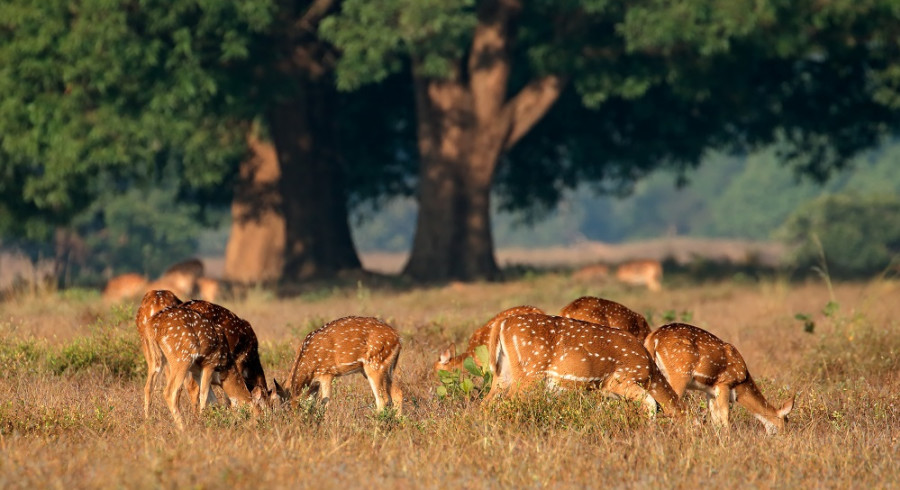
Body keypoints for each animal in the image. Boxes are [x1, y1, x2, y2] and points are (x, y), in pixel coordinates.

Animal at [144, 300, 268, 430]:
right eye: (257, 414)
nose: (257, 427)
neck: (225, 370)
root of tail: (152, 325)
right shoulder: (210, 363)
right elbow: (204, 395)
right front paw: (203, 421)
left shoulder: (197, 372)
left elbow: (213, 400)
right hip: (182, 357)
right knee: (170, 392)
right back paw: (182, 427)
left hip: (154, 357)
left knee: (148, 387)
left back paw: (148, 422)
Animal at [486, 314, 684, 418]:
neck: (650, 373)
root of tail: (502, 324)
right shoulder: (619, 380)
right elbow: (651, 403)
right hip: (529, 371)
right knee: (508, 400)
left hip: (503, 371)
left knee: (488, 400)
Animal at [640, 324, 796, 434]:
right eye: (785, 422)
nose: (784, 436)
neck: (741, 384)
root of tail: (653, 338)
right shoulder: (724, 383)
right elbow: (725, 415)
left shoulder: (710, 391)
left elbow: (715, 418)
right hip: (678, 373)